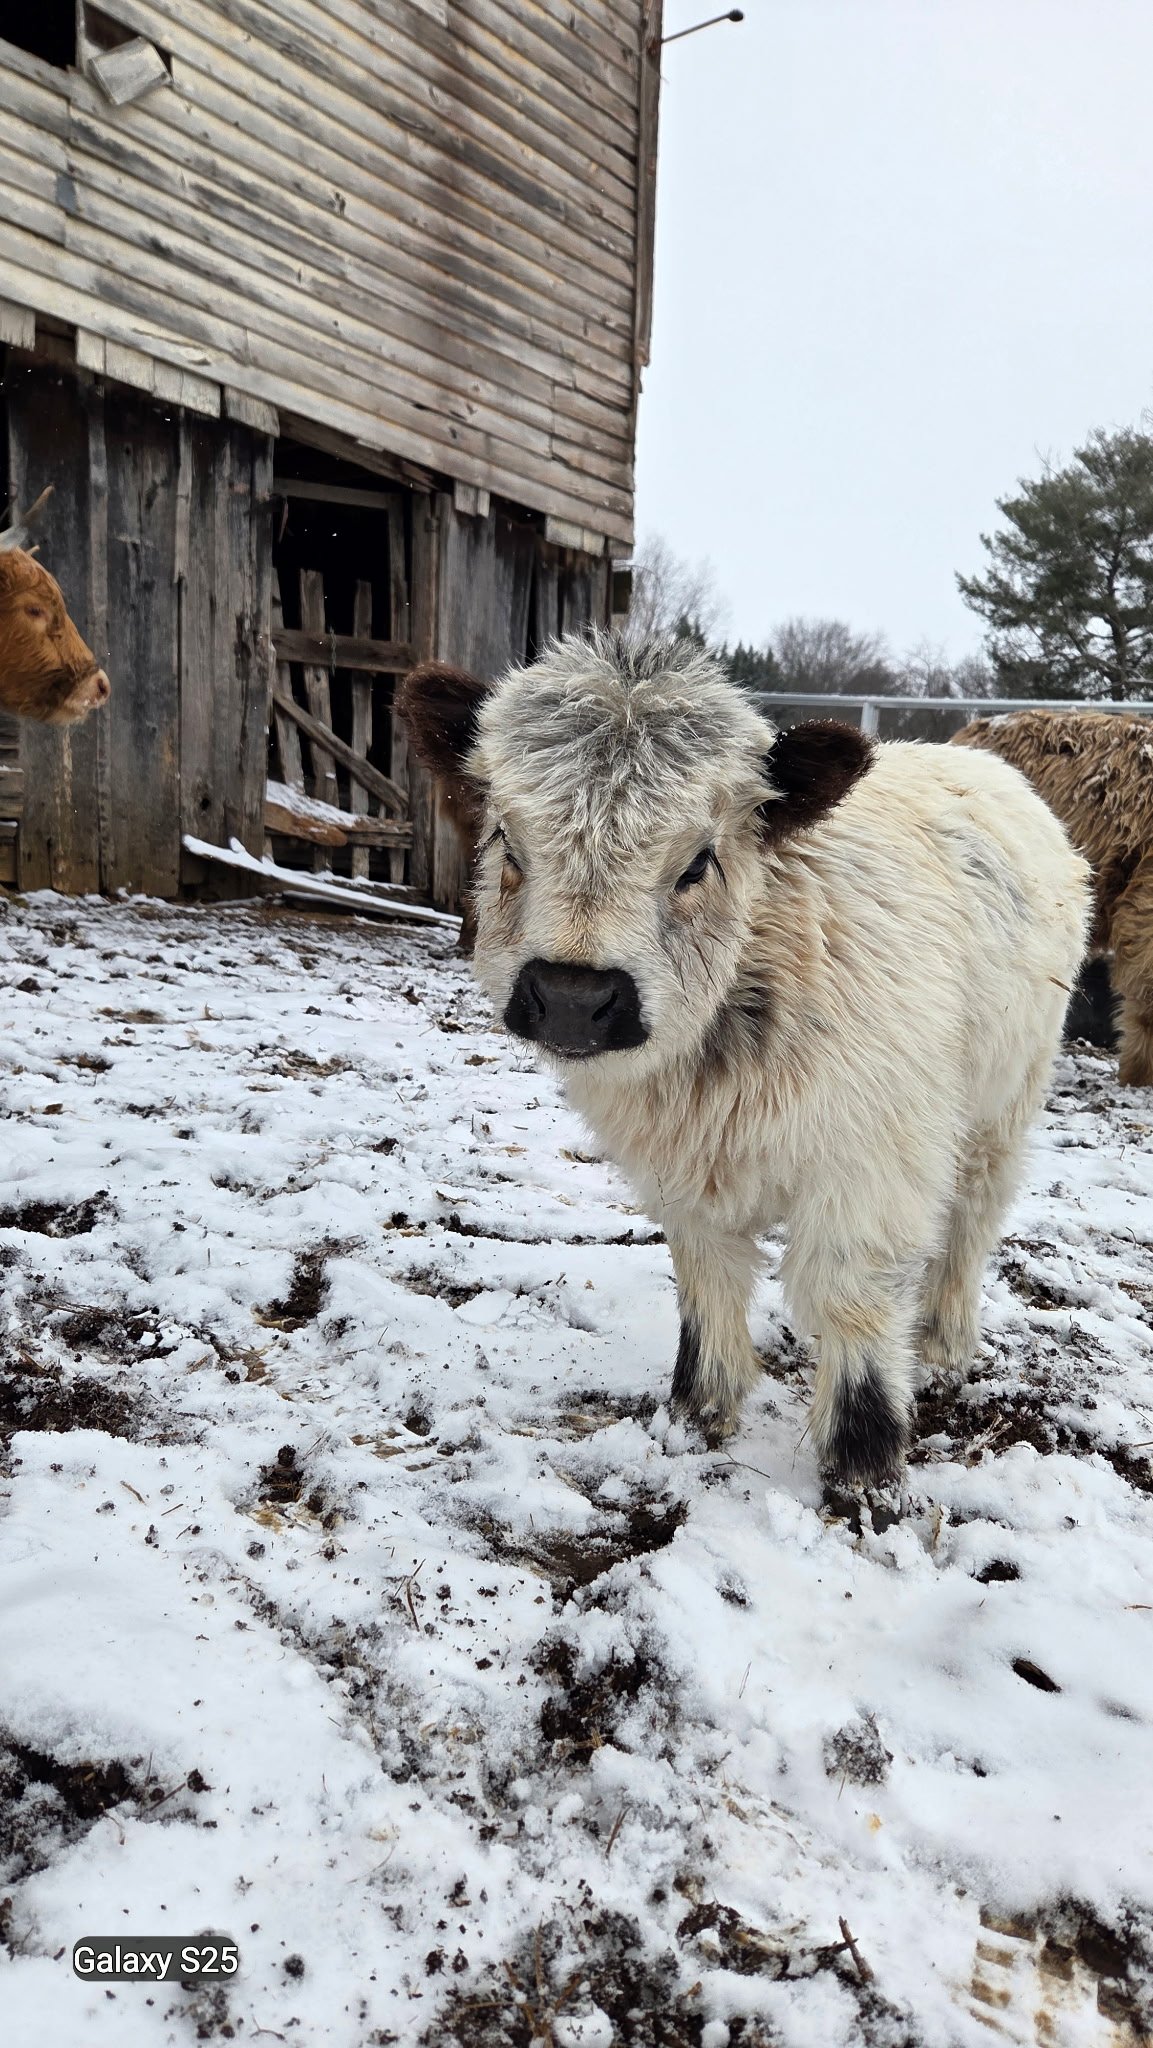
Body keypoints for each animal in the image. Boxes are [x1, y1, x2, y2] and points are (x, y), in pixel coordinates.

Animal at [399, 636, 1089, 1489]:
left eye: (698, 861)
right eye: (505, 841)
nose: (569, 996)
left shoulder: (873, 1165)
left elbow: (850, 1295)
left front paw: (863, 1460)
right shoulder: (681, 1170)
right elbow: (707, 1278)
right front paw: (699, 1409)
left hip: (1003, 1105)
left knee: (972, 1220)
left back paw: (943, 1343)